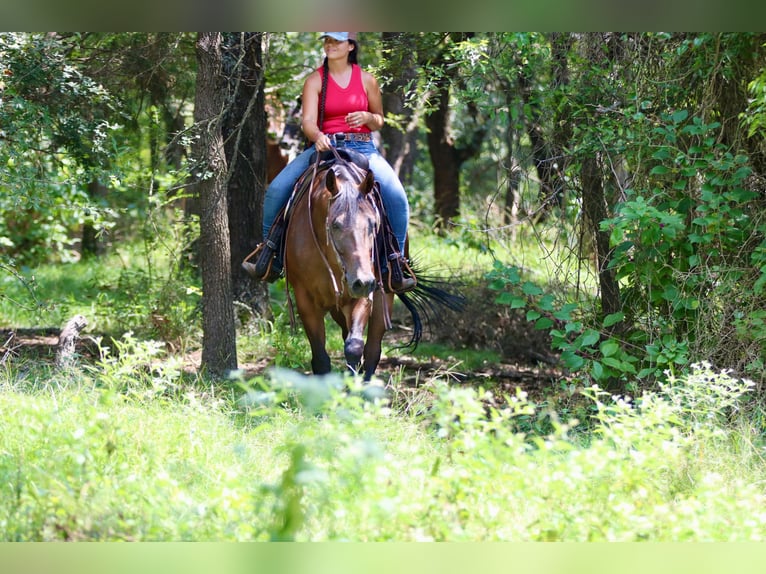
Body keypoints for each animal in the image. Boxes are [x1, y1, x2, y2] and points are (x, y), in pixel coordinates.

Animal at [283, 149, 464, 381]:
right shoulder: (305, 299)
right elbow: (320, 358)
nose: (362, 281)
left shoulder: (365, 293)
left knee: (372, 349)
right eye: (335, 225)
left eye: (373, 223)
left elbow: (355, 347)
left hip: (383, 296)